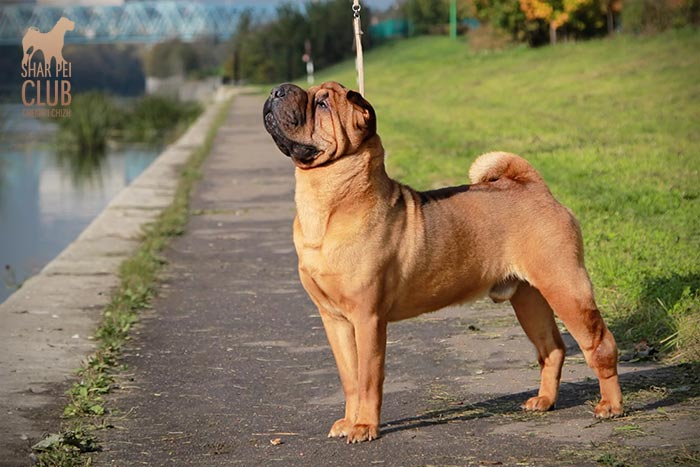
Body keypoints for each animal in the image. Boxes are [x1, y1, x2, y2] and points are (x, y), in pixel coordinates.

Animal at [263, 81, 623, 443]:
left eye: (322, 103)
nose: (279, 90)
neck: (329, 202)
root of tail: (535, 188)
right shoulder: (333, 318)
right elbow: (349, 377)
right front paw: (349, 422)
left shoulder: (368, 318)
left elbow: (368, 378)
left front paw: (364, 426)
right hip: (529, 298)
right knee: (552, 348)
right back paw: (544, 400)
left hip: (566, 287)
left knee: (600, 344)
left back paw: (611, 406)